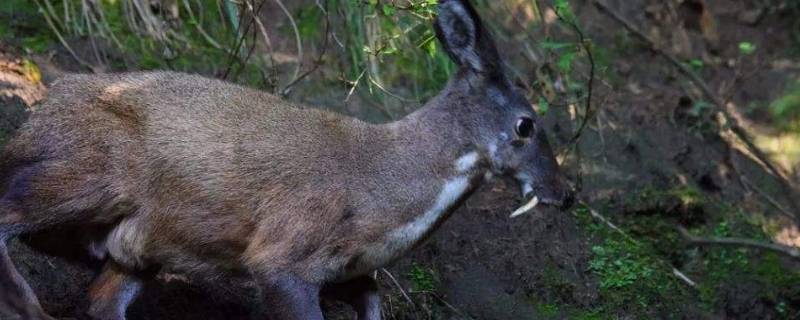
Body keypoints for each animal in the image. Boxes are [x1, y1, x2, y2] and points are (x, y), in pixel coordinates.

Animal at [1, 0, 576, 318]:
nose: (566, 194)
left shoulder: (351, 271)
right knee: (8, 213)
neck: (379, 194)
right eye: (526, 124)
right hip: (87, 173)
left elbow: (374, 304)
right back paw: (29, 308)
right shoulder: (281, 252)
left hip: (138, 243)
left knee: (101, 299)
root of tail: (41, 110)